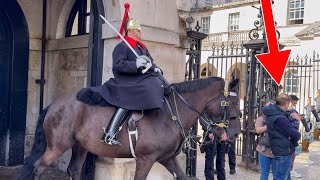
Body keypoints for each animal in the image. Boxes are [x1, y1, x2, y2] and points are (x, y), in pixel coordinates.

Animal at [17, 76, 240, 180]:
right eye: (229, 104)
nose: (236, 133)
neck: (170, 114)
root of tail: (54, 105)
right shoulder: (145, 159)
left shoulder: (167, 158)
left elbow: (182, 176)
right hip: (57, 146)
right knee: (38, 167)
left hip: (80, 146)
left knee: (73, 169)